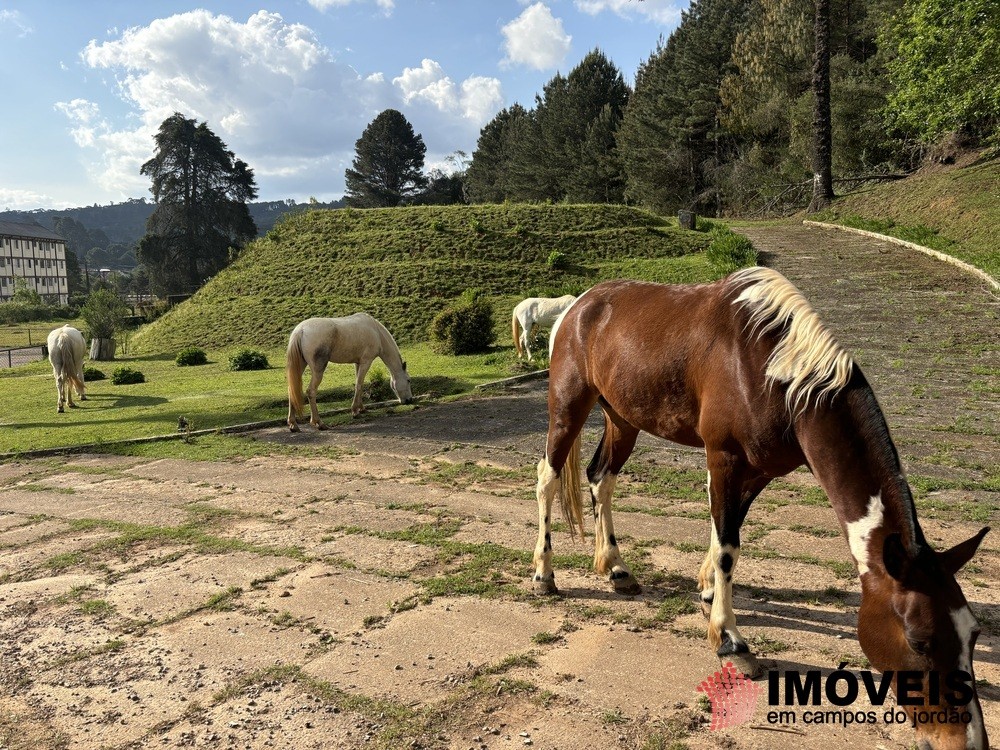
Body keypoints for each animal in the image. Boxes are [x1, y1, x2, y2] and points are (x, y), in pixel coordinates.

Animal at [286, 312, 414, 434]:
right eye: (408, 380)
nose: (409, 400)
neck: (376, 332)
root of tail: (300, 330)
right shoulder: (366, 362)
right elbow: (359, 385)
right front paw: (355, 412)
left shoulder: (358, 363)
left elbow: (360, 385)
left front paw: (361, 409)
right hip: (318, 370)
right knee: (311, 391)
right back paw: (319, 423)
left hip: (300, 366)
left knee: (292, 389)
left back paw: (293, 425)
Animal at [536, 268, 988, 748]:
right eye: (919, 641)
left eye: (973, 634)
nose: (969, 741)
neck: (773, 372)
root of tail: (578, 305)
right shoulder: (725, 458)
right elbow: (727, 546)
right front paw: (731, 641)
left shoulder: (759, 471)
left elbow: (725, 534)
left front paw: (709, 592)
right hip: (568, 407)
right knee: (547, 478)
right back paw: (544, 574)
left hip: (623, 418)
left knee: (601, 478)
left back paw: (616, 568)